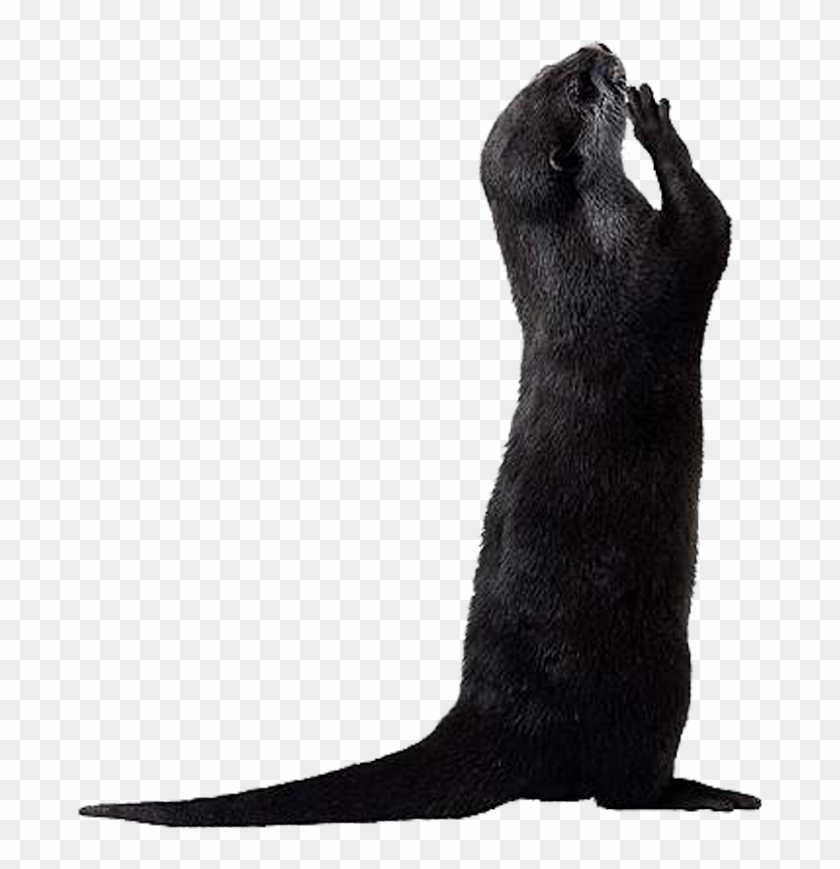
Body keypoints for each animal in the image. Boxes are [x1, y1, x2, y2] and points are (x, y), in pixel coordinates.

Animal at [80, 44, 759, 825]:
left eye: (547, 69)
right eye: (577, 86)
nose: (598, 50)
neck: (587, 255)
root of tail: (493, 719)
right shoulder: (657, 267)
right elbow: (711, 226)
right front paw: (656, 125)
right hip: (658, 678)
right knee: (620, 791)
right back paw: (703, 793)